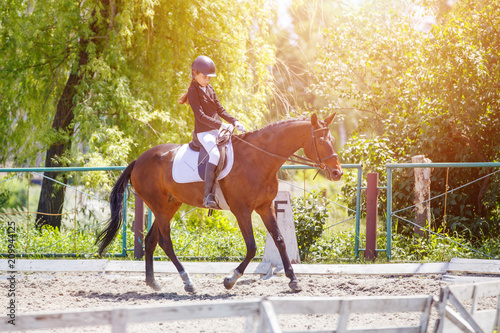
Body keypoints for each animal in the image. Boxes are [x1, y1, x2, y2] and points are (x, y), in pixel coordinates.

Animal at [95, 113, 342, 290]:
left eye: (332, 139)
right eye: (322, 140)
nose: (337, 172)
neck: (258, 159)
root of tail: (138, 160)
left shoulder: (265, 207)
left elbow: (280, 240)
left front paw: (293, 280)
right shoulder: (241, 210)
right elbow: (252, 246)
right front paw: (230, 280)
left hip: (170, 205)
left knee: (151, 240)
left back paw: (153, 283)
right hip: (161, 207)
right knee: (165, 242)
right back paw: (187, 281)